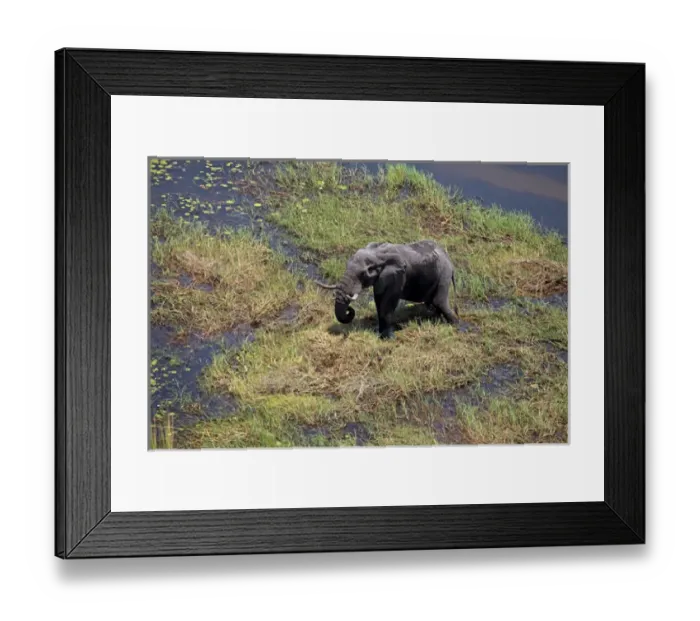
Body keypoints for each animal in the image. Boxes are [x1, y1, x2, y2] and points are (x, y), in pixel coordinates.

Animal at [315, 240, 459, 339]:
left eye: (363, 273)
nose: (349, 310)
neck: (377, 255)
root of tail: (450, 260)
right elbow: (379, 301)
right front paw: (379, 334)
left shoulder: (397, 276)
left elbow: (388, 303)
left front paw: (389, 338)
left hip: (444, 275)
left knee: (439, 301)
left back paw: (454, 325)